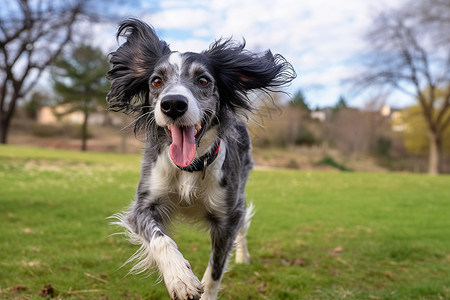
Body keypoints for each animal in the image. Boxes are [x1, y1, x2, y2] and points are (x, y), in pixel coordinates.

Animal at [106, 18, 296, 300]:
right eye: (156, 81)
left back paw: (243, 256)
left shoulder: (227, 217)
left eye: (204, 81)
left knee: (243, 230)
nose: (173, 104)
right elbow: (161, 239)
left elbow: (215, 271)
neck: (190, 168)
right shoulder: (143, 206)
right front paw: (180, 278)